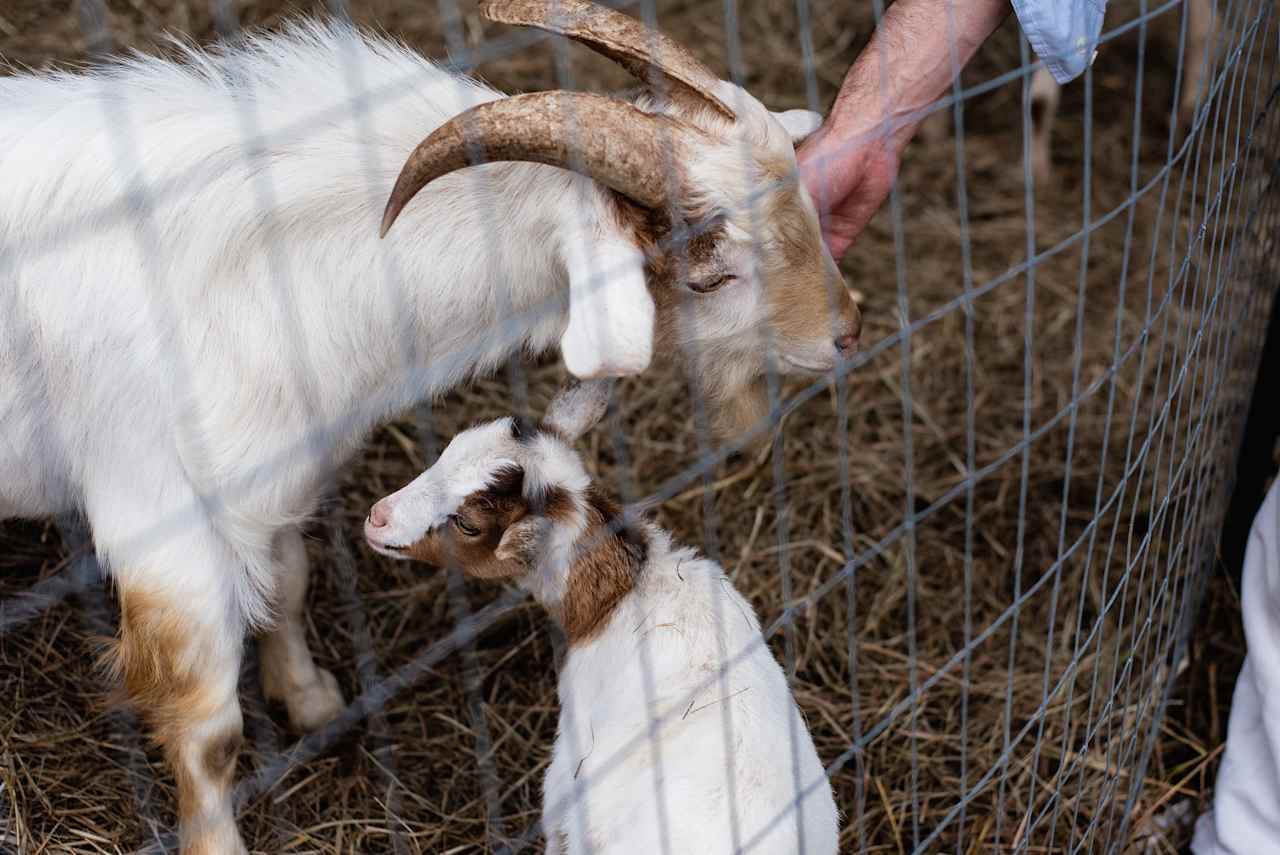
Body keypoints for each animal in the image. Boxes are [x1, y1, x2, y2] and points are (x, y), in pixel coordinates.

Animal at [2, 3, 860, 849]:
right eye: (711, 273)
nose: (847, 330)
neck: (256, 273)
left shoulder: (279, 475)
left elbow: (288, 579)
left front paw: (310, 696)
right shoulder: (162, 528)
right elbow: (210, 730)